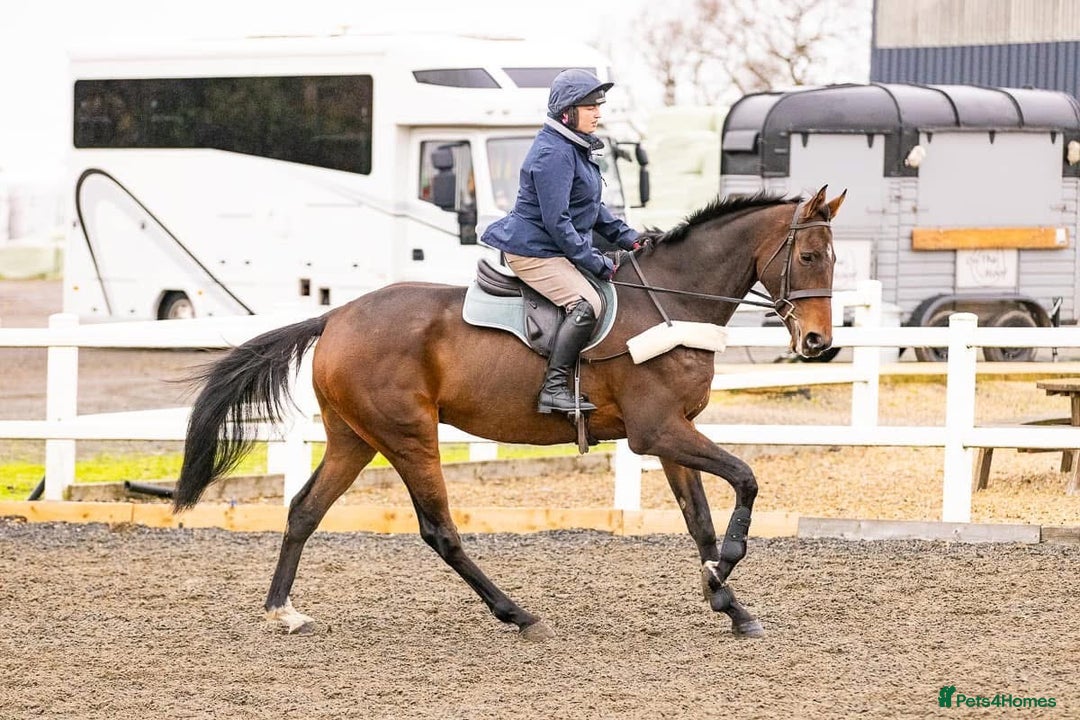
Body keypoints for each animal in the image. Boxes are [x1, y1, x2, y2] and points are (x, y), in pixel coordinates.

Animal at [174, 185, 846, 640]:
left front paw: (729, 603)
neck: (672, 302)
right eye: (810, 257)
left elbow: (700, 520)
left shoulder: (672, 434)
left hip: (354, 439)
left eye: (833, 259)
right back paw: (519, 615)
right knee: (439, 530)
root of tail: (335, 316)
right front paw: (725, 573)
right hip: (408, 435)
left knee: (304, 510)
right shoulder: (657, 432)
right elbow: (746, 480)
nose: (818, 343)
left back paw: (282, 611)